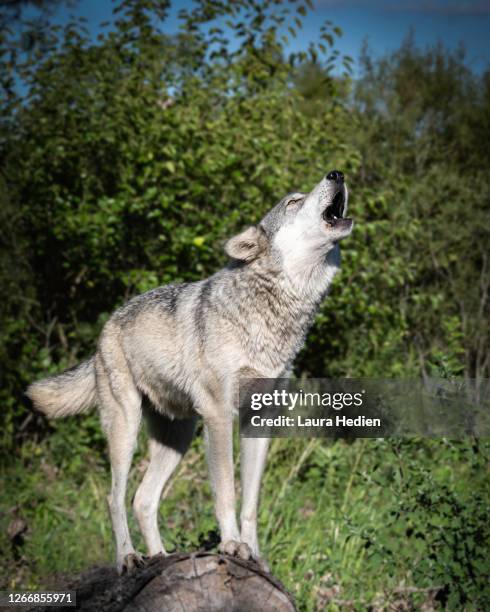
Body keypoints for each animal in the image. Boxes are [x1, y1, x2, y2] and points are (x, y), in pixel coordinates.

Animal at [27, 171, 352, 572]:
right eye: (293, 201)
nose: (337, 174)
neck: (273, 313)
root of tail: (107, 326)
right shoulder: (218, 416)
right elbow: (226, 492)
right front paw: (231, 545)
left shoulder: (259, 420)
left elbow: (251, 502)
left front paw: (255, 555)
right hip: (126, 427)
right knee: (114, 498)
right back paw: (129, 558)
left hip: (177, 438)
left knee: (143, 499)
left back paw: (162, 557)